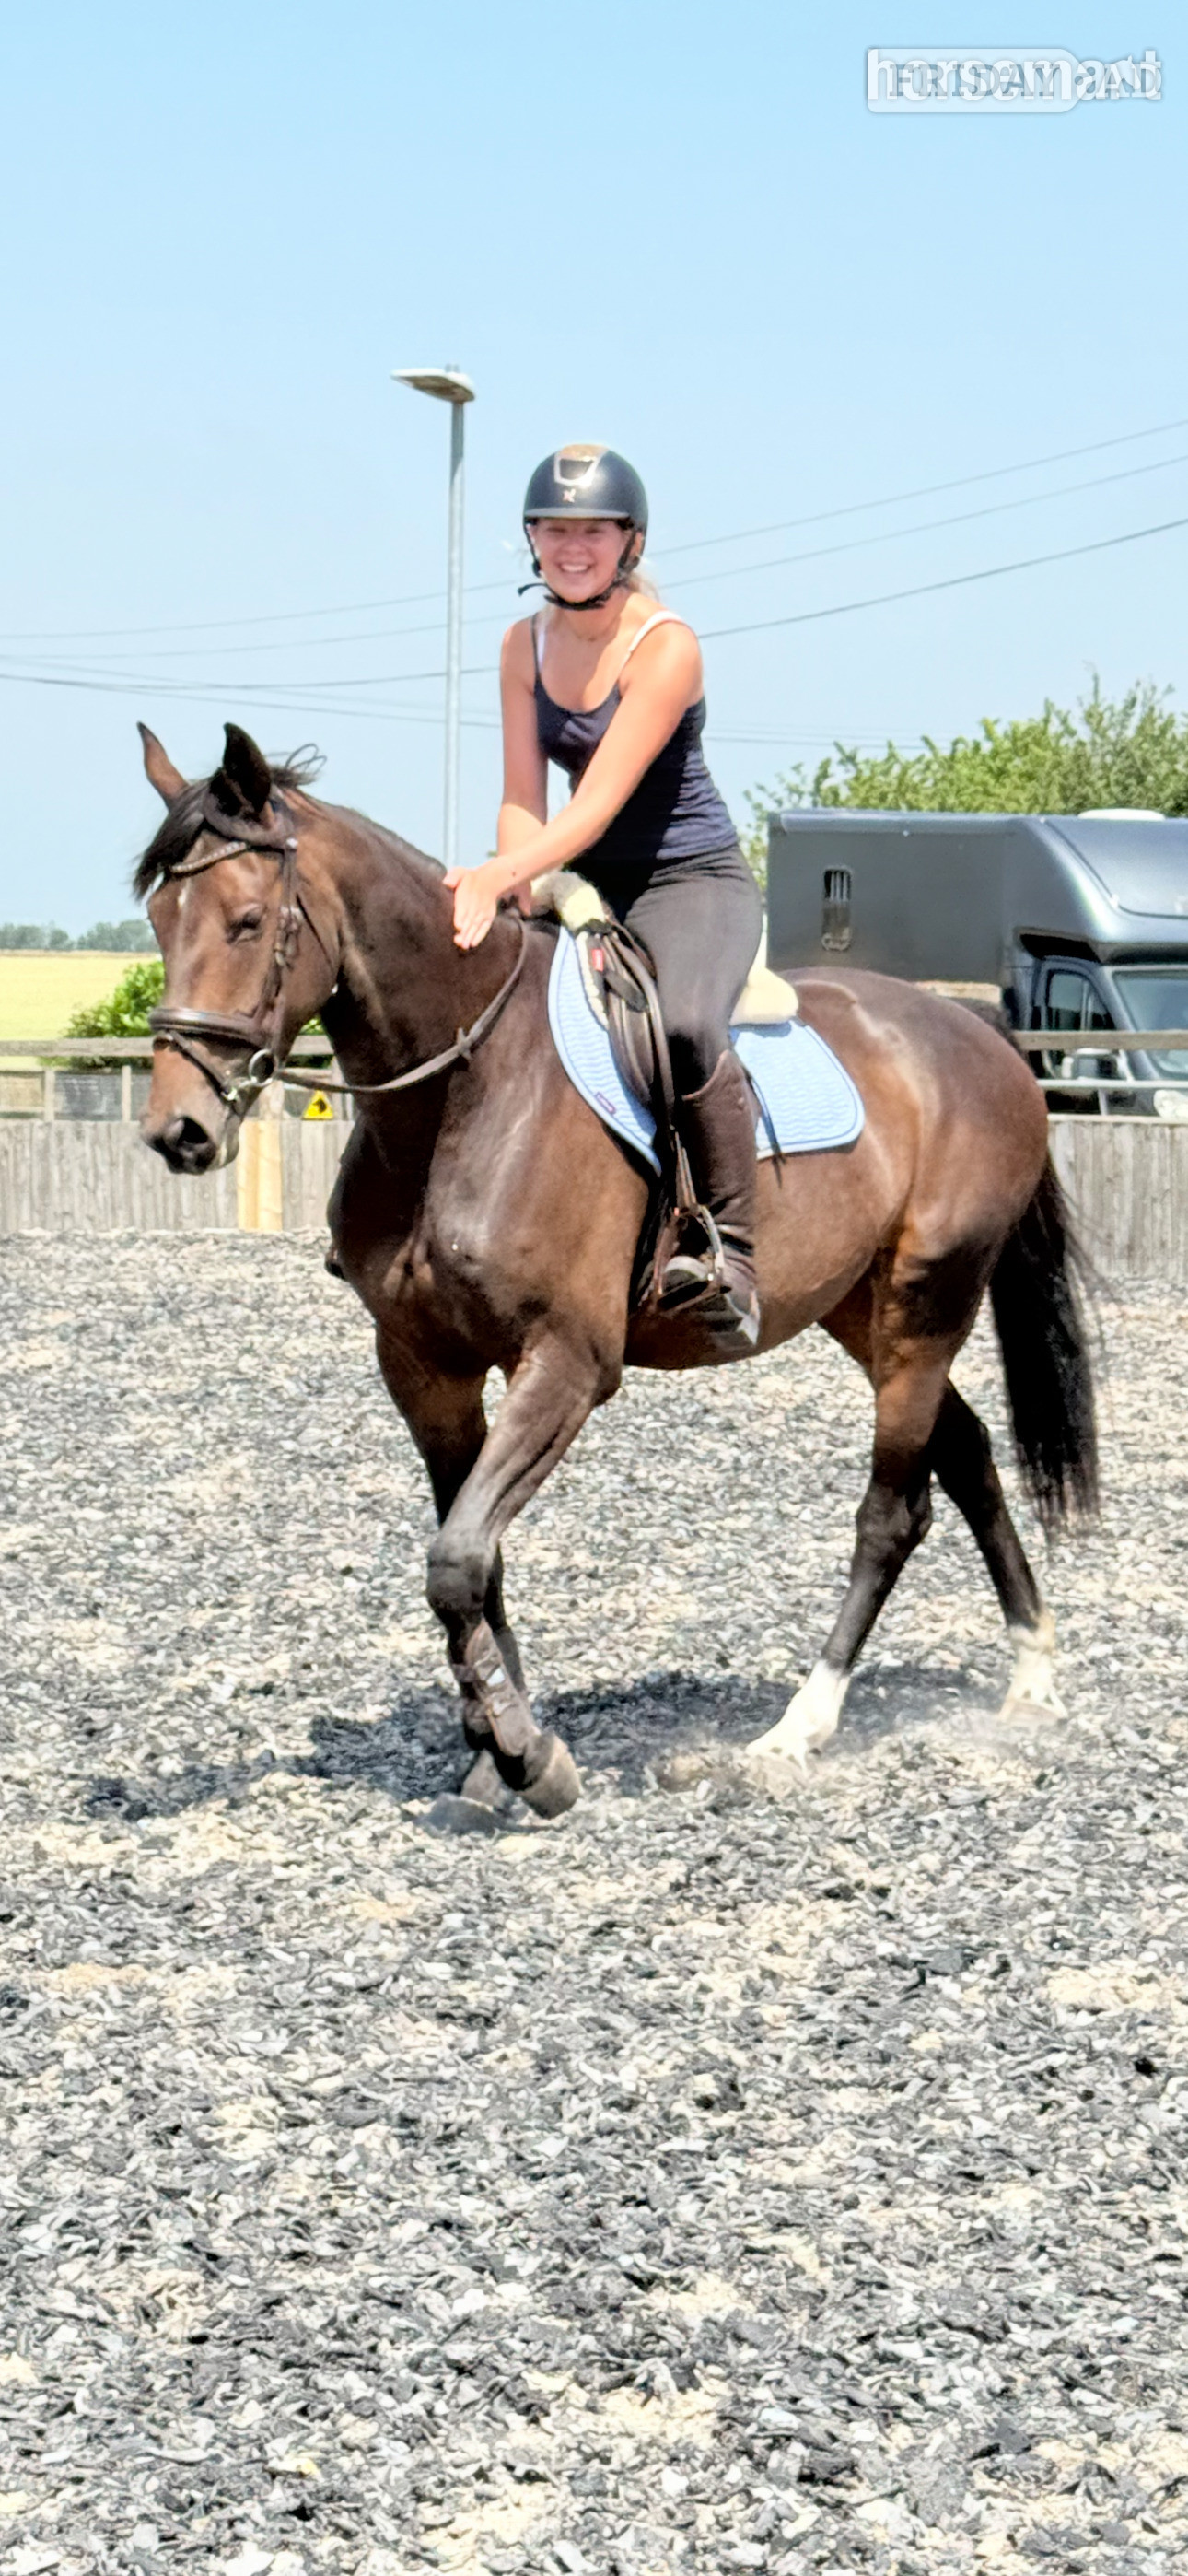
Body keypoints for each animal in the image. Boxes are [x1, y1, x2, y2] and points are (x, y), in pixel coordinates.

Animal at [136, 721, 1097, 1817]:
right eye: (160, 921)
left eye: (248, 921)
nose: (178, 1132)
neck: (465, 1089)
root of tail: (976, 1032)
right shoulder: (425, 1370)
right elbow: (474, 1561)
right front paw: (492, 1746)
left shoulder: (567, 1363)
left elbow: (457, 1561)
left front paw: (529, 1757)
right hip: (863, 1311)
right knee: (969, 1453)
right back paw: (1031, 1676)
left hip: (924, 1303)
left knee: (894, 1511)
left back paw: (795, 1732)